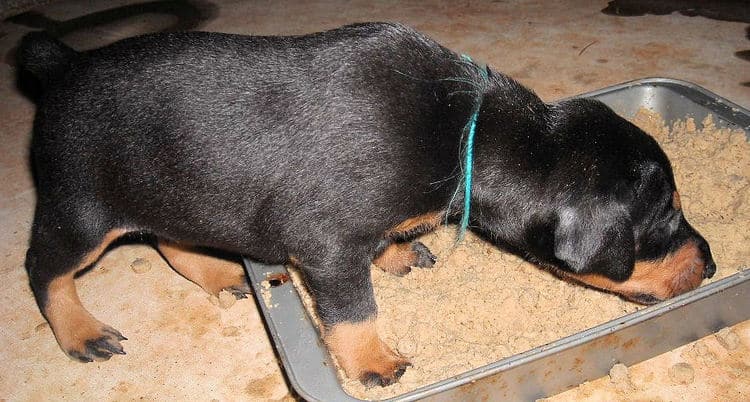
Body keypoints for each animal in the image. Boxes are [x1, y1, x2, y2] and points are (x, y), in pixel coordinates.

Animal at [17, 22, 716, 386]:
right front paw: (377, 364)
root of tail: (62, 65)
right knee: (44, 268)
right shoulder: (327, 248)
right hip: (82, 205)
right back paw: (81, 333)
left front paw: (400, 254)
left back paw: (219, 275)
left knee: (169, 238)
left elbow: (385, 244)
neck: (468, 131)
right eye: (665, 216)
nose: (710, 264)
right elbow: (354, 313)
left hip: (176, 187)